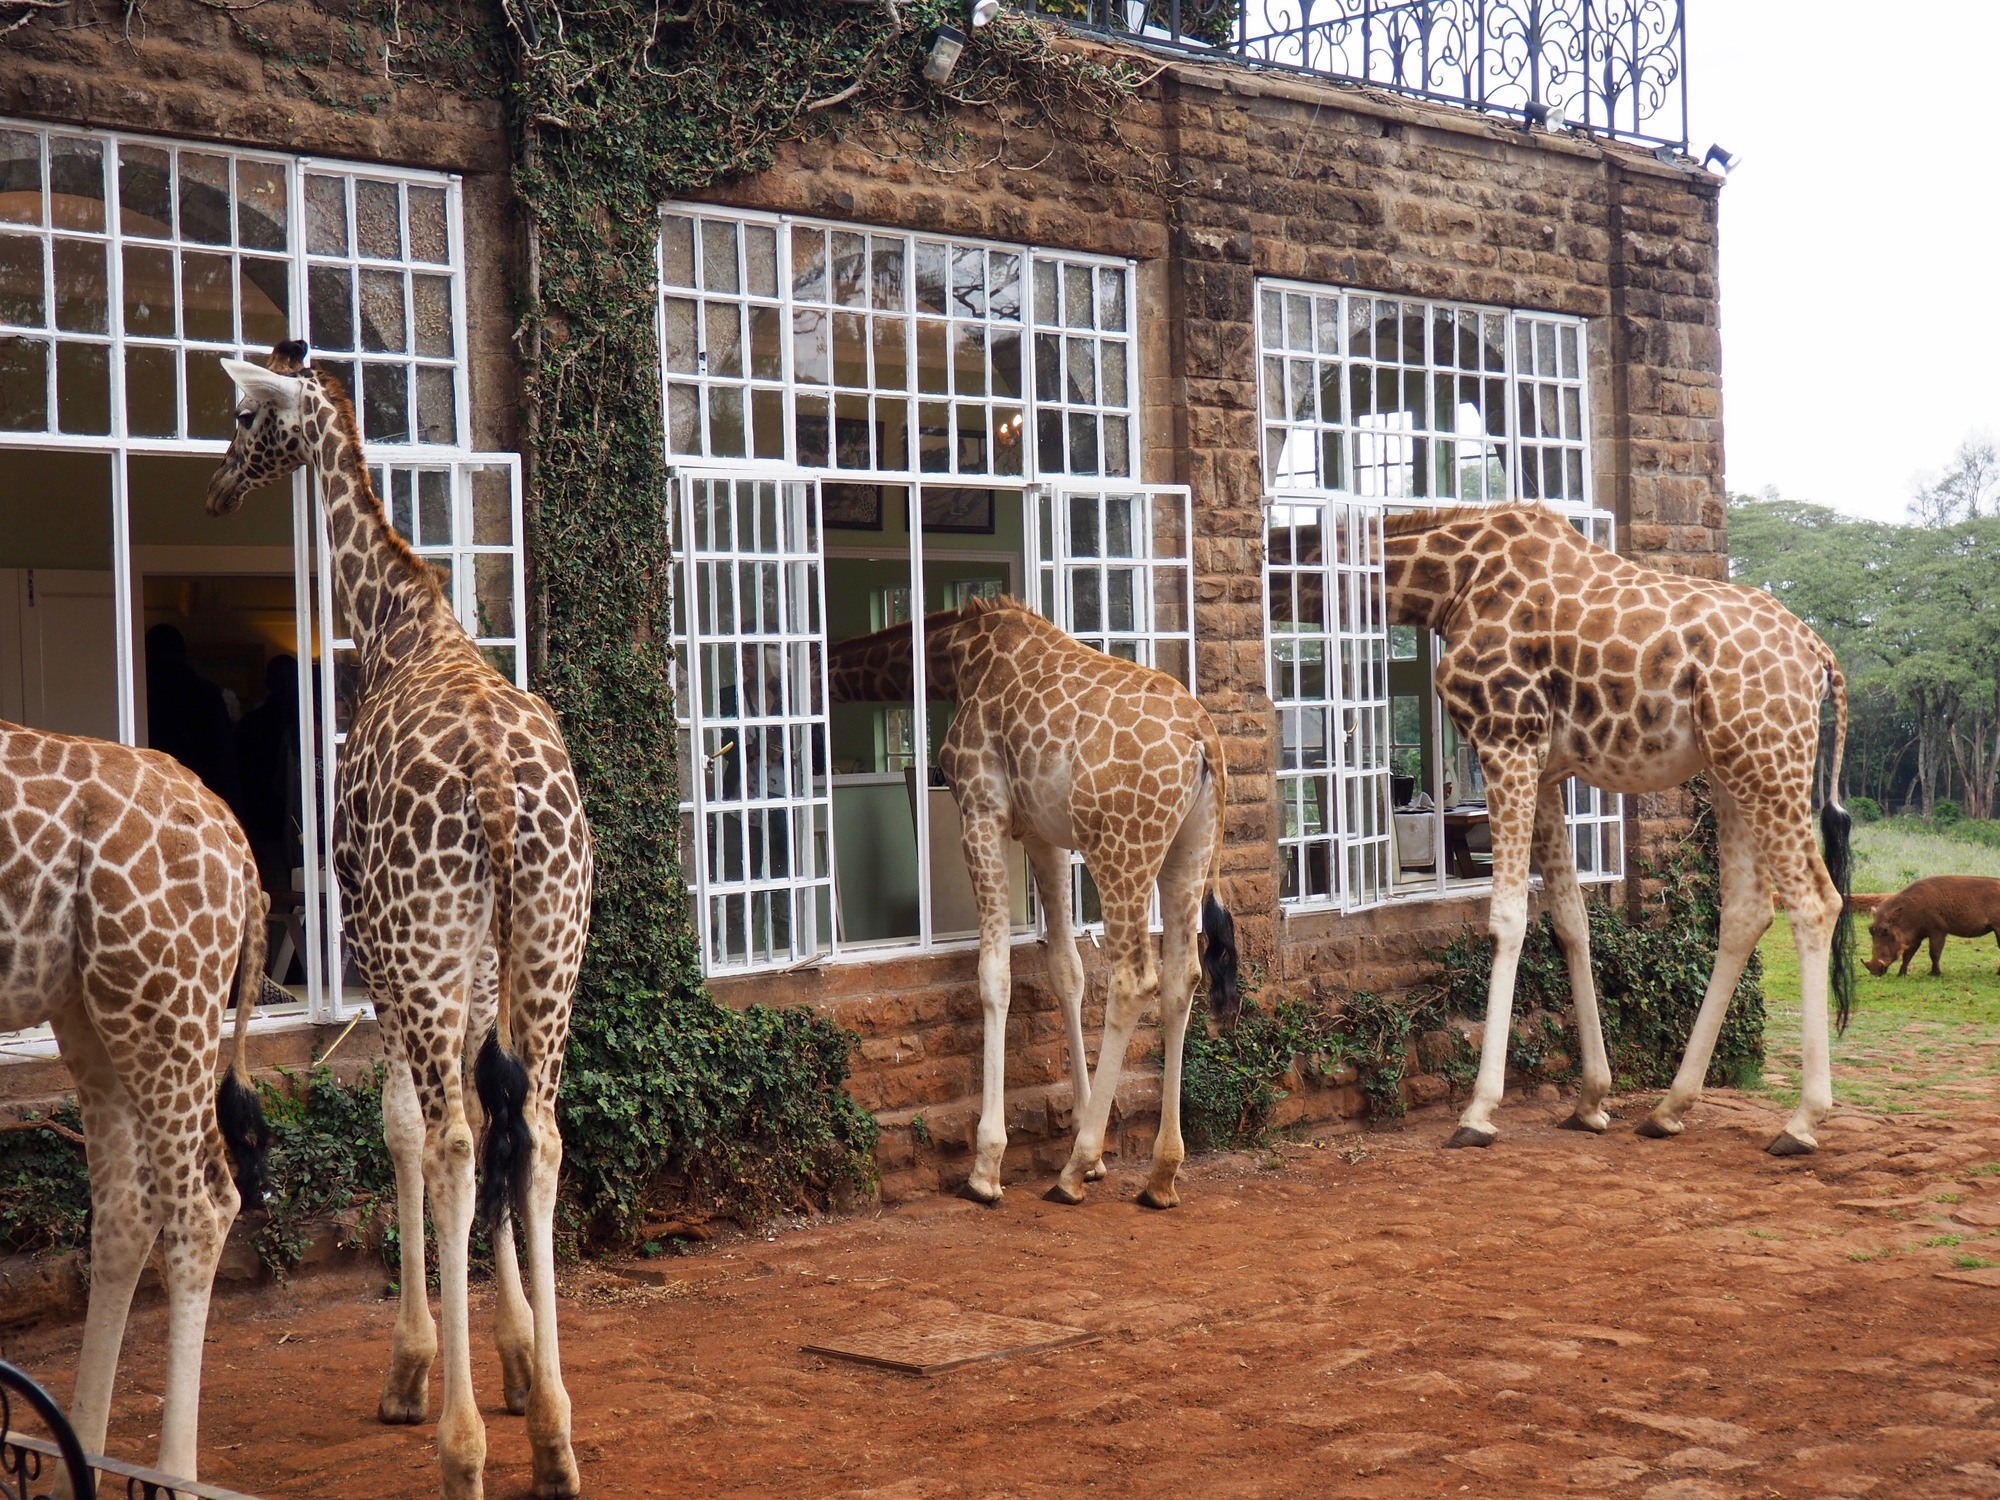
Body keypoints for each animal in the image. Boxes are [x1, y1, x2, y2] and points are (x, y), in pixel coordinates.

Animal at [0, 720, 269, 1482]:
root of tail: (234, 838)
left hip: (160, 992)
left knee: (202, 1205)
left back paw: (173, 1473)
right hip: (89, 1004)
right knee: (127, 1207)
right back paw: (77, 1464)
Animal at [206, 342, 592, 1500]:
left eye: (243, 415)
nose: (218, 487)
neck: (398, 625)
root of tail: (500, 785)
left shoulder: (382, 948)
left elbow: (406, 1128)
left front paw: (415, 1368)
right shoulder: (476, 963)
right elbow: (493, 1118)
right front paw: (517, 1359)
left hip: (421, 948)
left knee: (460, 1140)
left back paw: (458, 1447)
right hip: (550, 940)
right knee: (538, 1133)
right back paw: (554, 1439)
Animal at [827, 597, 1238, 1207]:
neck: (955, 655)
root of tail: (1203, 740)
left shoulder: (982, 808)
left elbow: (993, 974)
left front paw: (987, 1166)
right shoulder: (1045, 835)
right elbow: (1066, 969)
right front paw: (1093, 1147)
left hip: (1121, 847)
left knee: (1134, 979)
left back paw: (1072, 1172)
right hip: (1188, 850)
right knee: (1182, 977)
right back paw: (1160, 1175)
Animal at [1381, 503, 1854, 1155]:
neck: (1453, 584)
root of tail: (1819, 655)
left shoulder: (1504, 738)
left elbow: (1507, 917)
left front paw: (1478, 1111)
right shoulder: (1546, 767)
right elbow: (1569, 919)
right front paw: (1590, 1100)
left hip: (1767, 759)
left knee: (1813, 901)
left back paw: (1802, 1122)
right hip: (1732, 765)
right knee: (1747, 909)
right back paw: (1668, 1108)